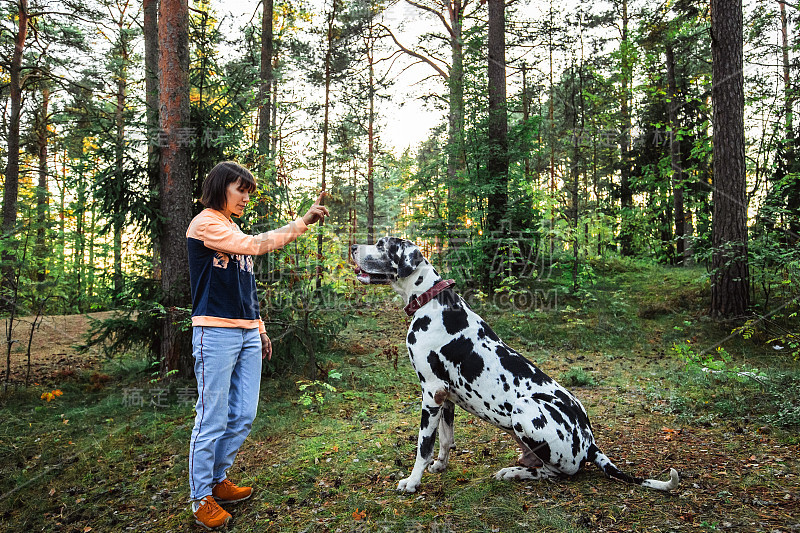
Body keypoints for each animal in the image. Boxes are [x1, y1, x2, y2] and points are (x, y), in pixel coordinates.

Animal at [352, 239, 680, 492]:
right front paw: (440, 465)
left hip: (524, 413)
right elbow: (445, 440)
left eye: (381, 244)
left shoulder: (431, 393)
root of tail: (589, 442)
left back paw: (513, 473)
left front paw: (412, 482)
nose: (353, 247)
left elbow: (423, 446)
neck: (430, 301)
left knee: (555, 473)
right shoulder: (446, 398)